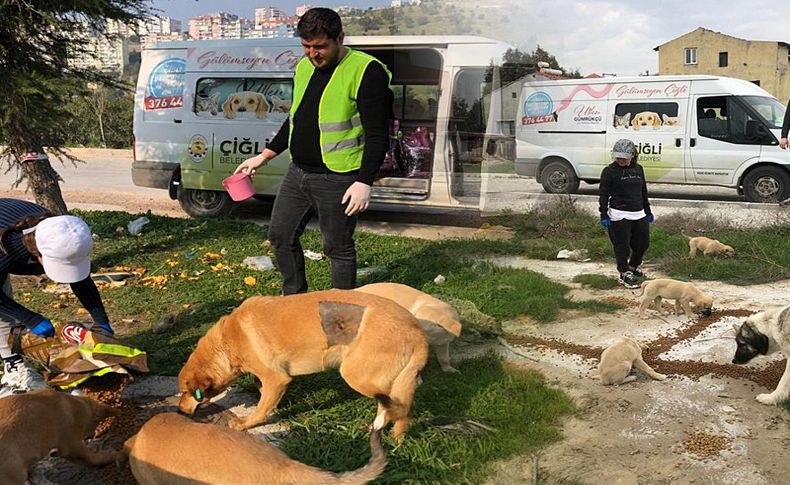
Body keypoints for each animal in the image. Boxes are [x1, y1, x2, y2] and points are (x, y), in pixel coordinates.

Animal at [179, 290, 430, 440]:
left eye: (186, 392)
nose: (179, 410)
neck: (228, 341)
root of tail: (418, 333)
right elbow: (262, 393)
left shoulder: (276, 379)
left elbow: (261, 408)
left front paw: (245, 423)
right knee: (389, 407)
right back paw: (376, 430)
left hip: (358, 376)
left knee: (404, 409)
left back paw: (395, 439)